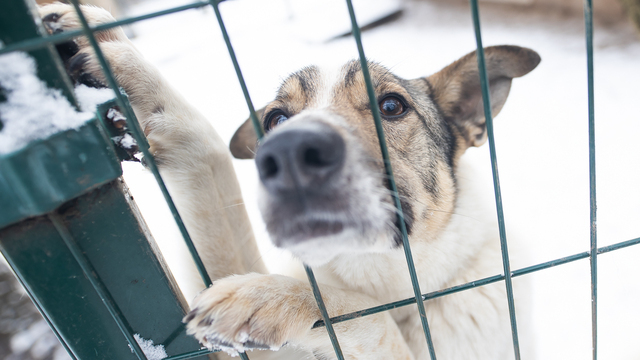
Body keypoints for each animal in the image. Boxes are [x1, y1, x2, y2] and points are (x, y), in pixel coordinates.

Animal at [38, 4, 540, 358]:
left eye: (392, 106)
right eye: (276, 119)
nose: (289, 152)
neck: (391, 290)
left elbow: (366, 318)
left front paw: (272, 297)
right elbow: (208, 157)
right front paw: (116, 55)